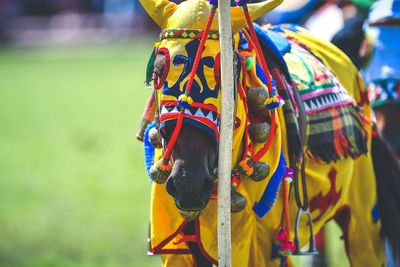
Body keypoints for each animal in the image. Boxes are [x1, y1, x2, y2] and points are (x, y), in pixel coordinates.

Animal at [137, 1, 400, 266]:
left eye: (227, 72)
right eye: (157, 74)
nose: (188, 183)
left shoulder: (259, 247)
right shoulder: (180, 250)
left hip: (363, 213)